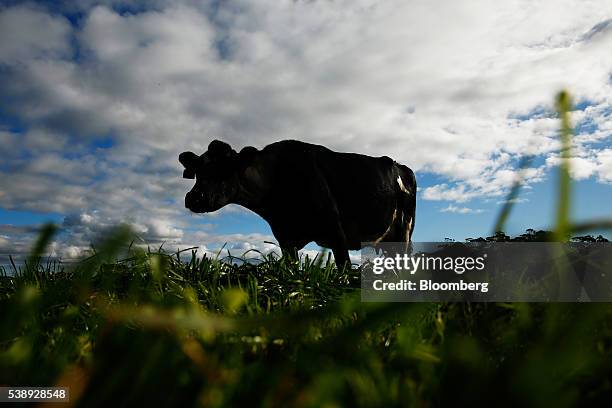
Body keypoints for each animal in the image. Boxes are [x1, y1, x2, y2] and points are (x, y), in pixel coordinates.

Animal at [177, 139, 416, 270]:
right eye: (198, 171)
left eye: (225, 169)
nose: (193, 198)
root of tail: (400, 166)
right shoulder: (285, 239)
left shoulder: (334, 228)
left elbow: (344, 268)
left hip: (404, 230)